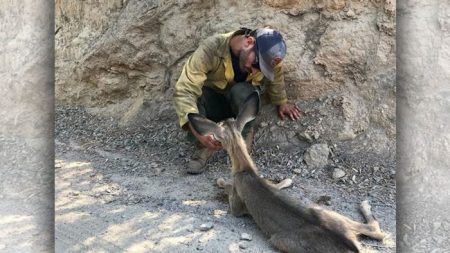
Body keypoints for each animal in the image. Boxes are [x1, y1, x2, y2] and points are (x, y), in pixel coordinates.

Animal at [187, 92, 386, 252]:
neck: (245, 170)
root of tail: (350, 246)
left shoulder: (236, 205)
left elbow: (229, 191)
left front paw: (220, 181)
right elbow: (278, 184)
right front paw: (288, 181)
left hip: (280, 239)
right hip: (327, 213)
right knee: (375, 230)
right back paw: (365, 203)